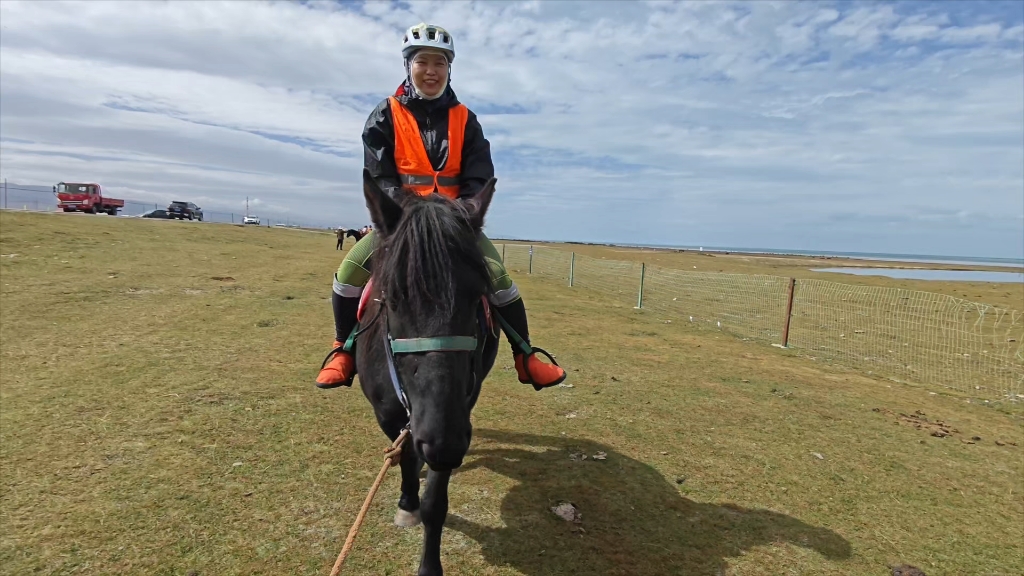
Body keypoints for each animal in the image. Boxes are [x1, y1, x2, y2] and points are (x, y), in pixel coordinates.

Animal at [352, 168, 499, 569]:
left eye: (477, 295)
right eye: (392, 298)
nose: (442, 442)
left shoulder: (458, 414)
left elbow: (436, 501)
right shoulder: (388, 413)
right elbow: (404, 457)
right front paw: (407, 502)